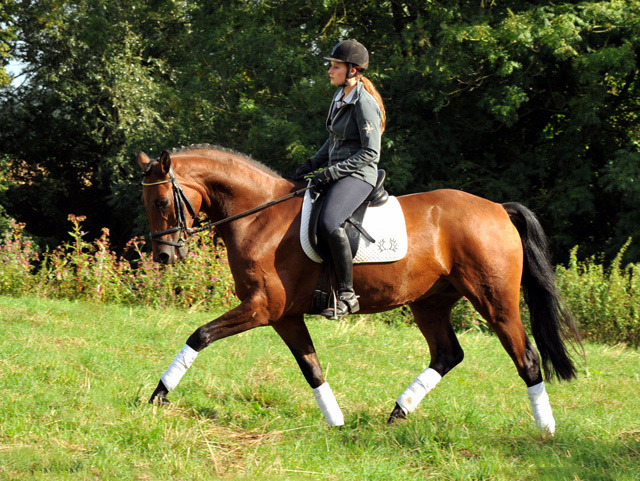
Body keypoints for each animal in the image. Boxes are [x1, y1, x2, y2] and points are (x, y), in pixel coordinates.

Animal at [138, 144, 584, 434]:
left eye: (161, 202)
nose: (163, 255)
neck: (258, 216)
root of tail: (497, 209)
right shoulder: (285, 315)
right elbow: (312, 367)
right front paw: (336, 422)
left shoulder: (262, 307)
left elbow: (200, 335)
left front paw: (158, 395)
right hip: (430, 302)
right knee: (447, 354)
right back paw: (398, 413)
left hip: (495, 301)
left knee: (526, 357)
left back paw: (546, 430)